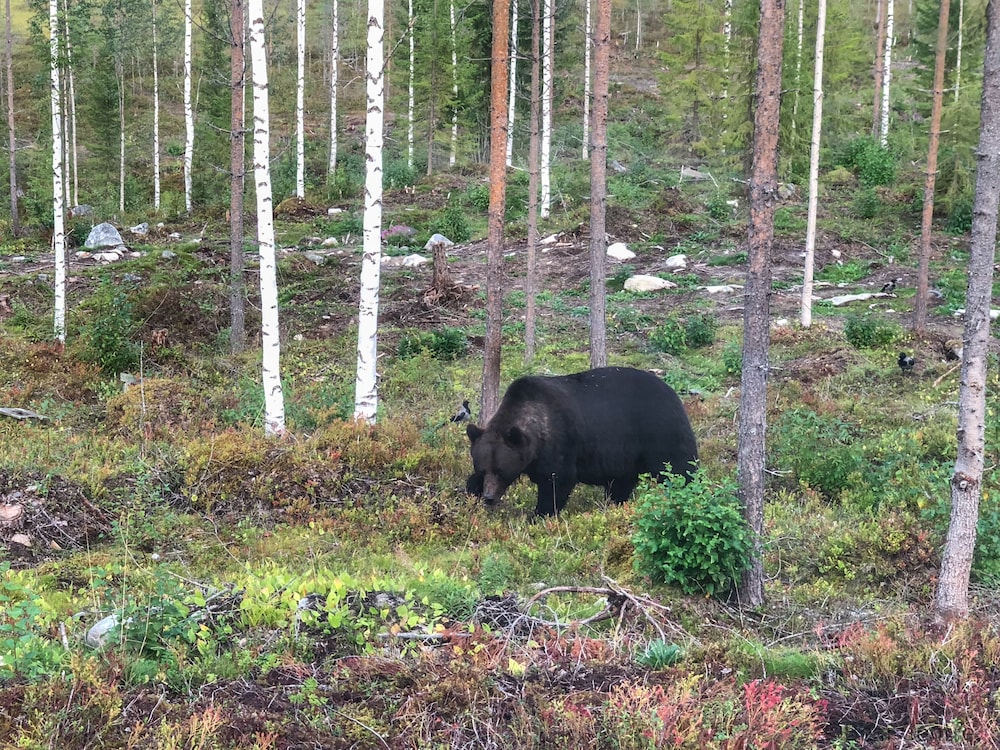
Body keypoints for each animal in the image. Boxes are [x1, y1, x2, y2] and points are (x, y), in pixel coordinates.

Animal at [465, 366, 698, 517]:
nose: (489, 497)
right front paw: (471, 490)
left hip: (660, 433)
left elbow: (556, 482)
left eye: (501, 471)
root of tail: (673, 393)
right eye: (483, 469)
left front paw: (539, 515)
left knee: (680, 469)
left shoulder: (560, 443)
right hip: (629, 457)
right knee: (621, 483)